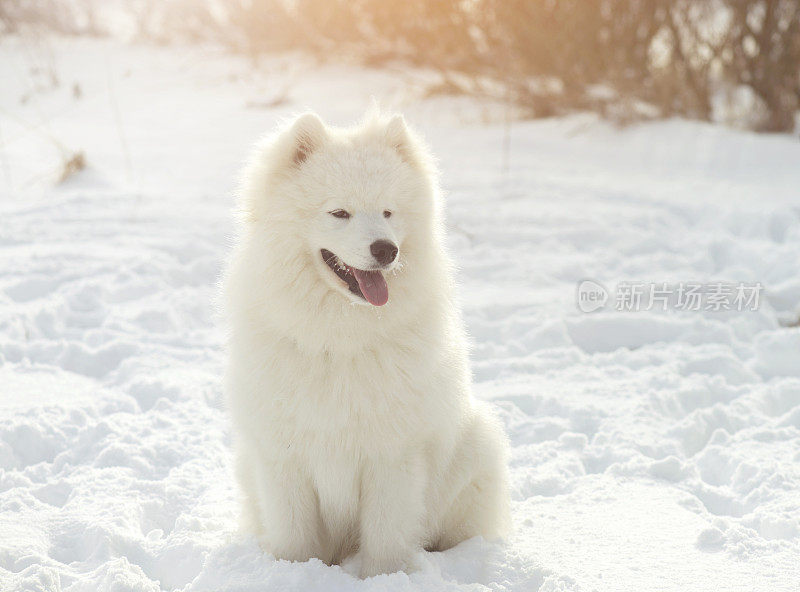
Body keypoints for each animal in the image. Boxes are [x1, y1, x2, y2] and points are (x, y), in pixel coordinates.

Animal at [223, 108, 512, 576]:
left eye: (388, 212)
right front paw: (291, 570)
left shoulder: (392, 456)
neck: (338, 340)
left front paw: (385, 577)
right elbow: (295, 535)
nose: (386, 250)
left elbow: (386, 534)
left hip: (476, 448)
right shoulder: (283, 457)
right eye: (339, 212)